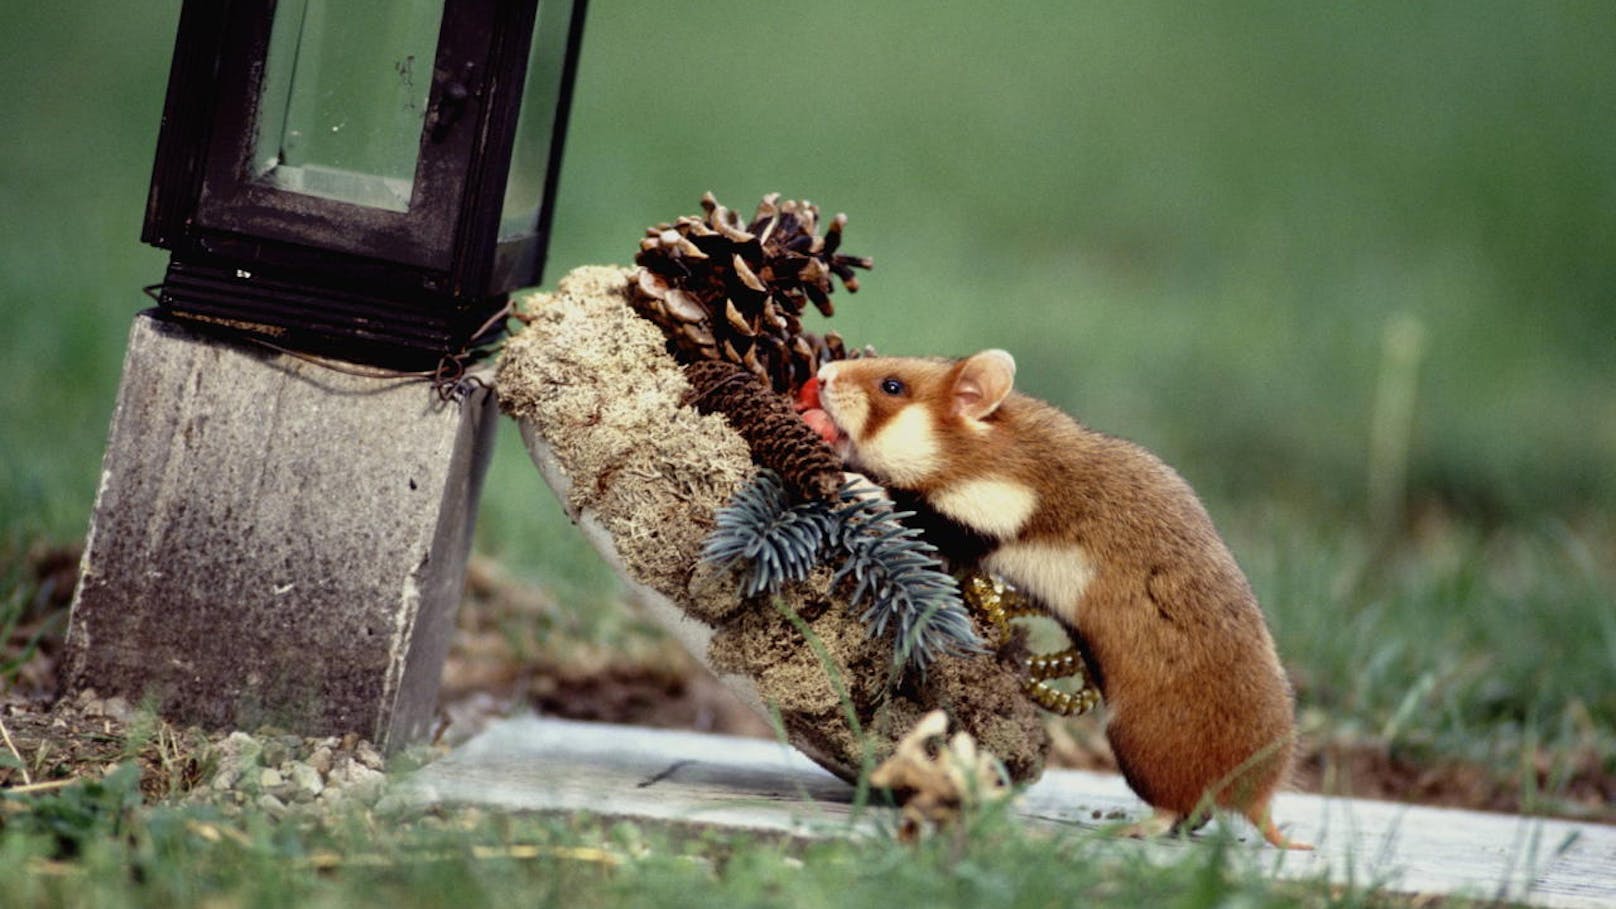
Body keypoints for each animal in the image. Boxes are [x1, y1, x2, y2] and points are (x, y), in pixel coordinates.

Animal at [820, 347, 1312, 847]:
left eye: (893, 386)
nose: (821, 374)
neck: (979, 446)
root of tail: (1258, 803)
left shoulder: (981, 511)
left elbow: (903, 502)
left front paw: (849, 470)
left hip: (1137, 748)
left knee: (1175, 810)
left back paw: (1129, 829)